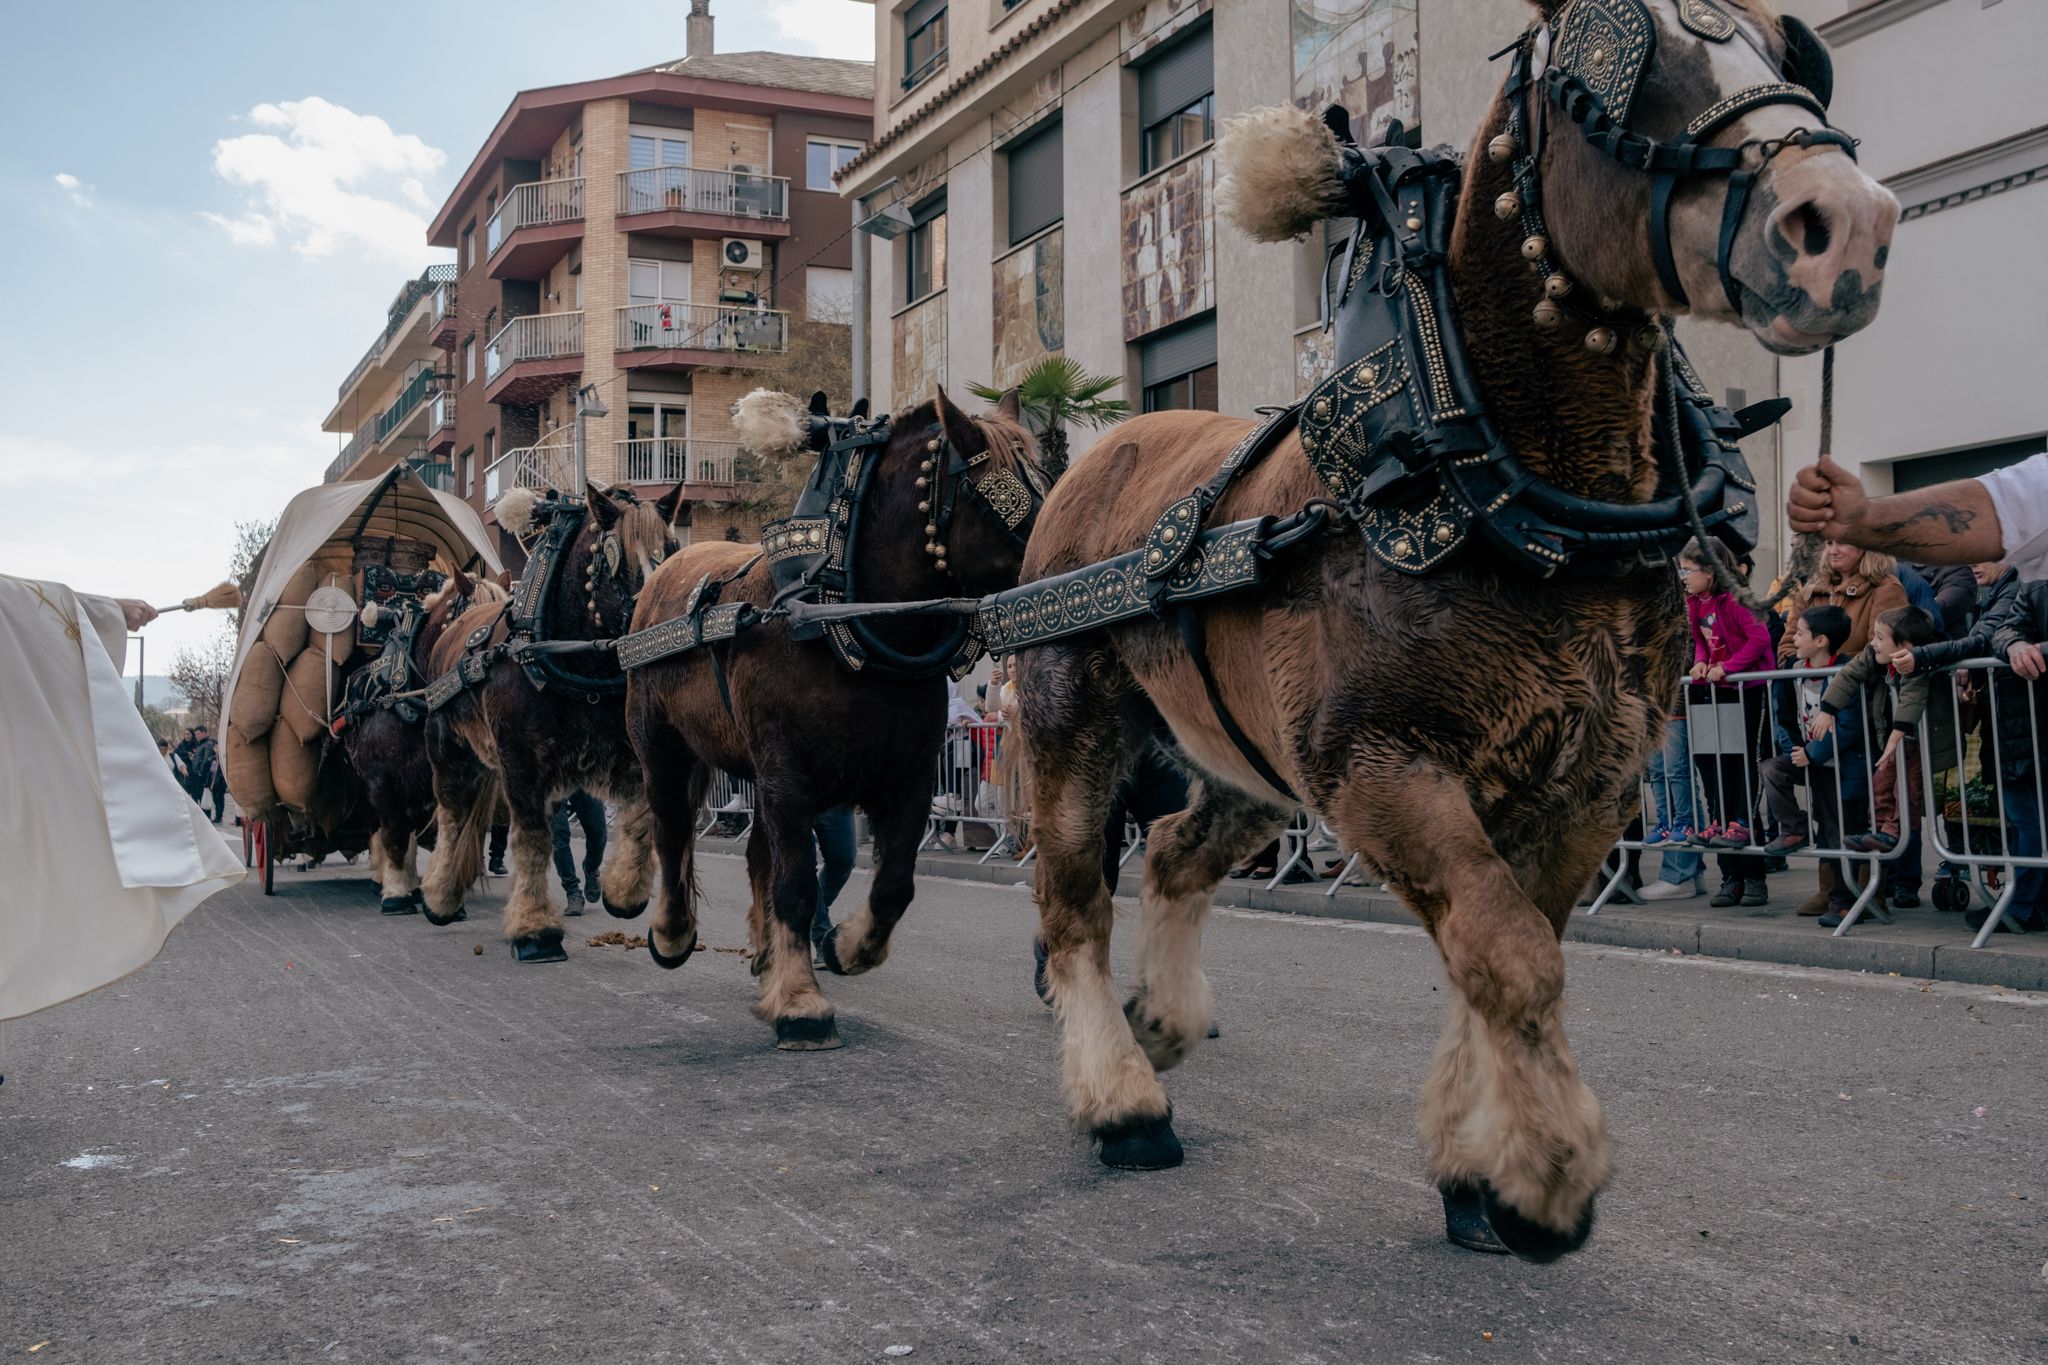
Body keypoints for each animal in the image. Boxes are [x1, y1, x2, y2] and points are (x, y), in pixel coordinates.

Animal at [419, 485, 684, 965]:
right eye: (613, 557)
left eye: (672, 549)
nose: (658, 615)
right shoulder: (520, 764)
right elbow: (533, 840)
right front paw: (534, 930)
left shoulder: (630, 755)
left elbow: (640, 817)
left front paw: (625, 892)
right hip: (446, 750)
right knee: (450, 814)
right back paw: (440, 895)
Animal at [618, 388, 1040, 1055]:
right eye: (988, 493)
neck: (836, 620)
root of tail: (662, 573)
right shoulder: (788, 778)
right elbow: (796, 886)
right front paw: (800, 1003)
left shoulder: (909, 777)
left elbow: (892, 885)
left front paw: (843, 947)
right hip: (663, 748)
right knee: (673, 829)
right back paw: (673, 931)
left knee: (755, 854)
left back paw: (767, 955)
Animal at [1015, 0, 1892, 1268]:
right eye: (1614, 66)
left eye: (1790, 56)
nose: (1847, 227)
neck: (1488, 471)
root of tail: (1089, 466)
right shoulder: (1381, 765)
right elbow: (1510, 958)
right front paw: (1546, 1179)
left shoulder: (1588, 780)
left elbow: (1503, 949)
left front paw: (1478, 1165)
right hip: (1071, 718)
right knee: (1073, 897)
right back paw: (1122, 1098)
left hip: (1248, 758)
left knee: (1175, 852)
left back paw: (1162, 1021)